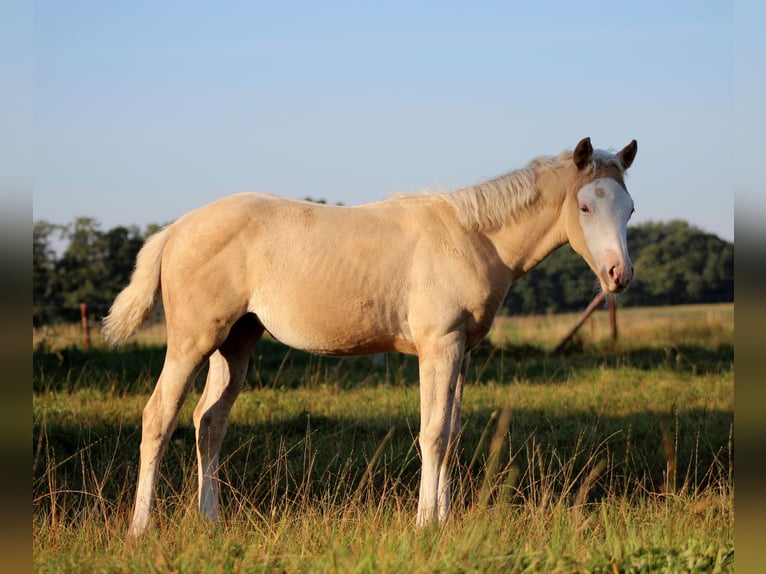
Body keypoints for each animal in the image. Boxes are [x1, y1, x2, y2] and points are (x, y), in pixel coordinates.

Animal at [102, 137, 637, 538]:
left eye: (630, 209)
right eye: (585, 205)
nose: (619, 275)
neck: (472, 237)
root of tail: (175, 230)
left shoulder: (463, 353)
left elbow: (453, 431)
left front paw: (444, 518)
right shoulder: (438, 347)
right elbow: (433, 433)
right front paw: (425, 524)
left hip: (235, 342)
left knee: (209, 422)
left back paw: (209, 520)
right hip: (192, 341)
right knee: (158, 417)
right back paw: (140, 528)